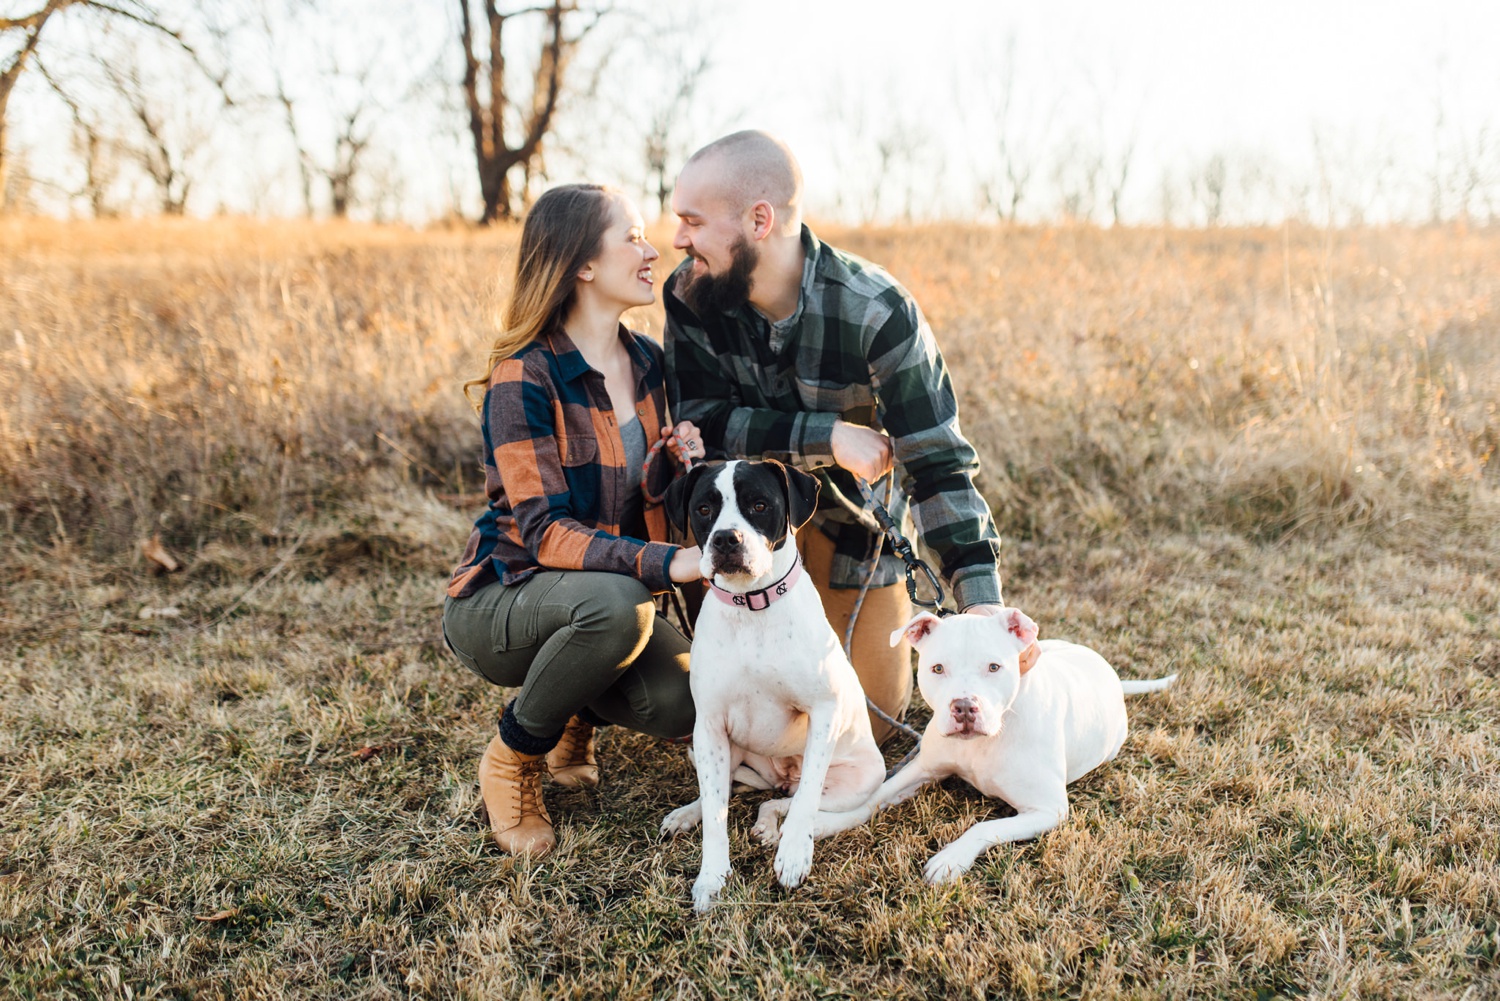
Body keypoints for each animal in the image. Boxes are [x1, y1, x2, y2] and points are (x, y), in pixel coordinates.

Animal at [663, 462, 882, 918]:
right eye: (704, 508)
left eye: (760, 505)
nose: (726, 539)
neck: (751, 606)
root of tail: (779, 777)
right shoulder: (709, 725)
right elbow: (716, 814)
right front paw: (711, 878)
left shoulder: (824, 712)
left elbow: (804, 801)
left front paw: (794, 853)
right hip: (712, 747)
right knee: (727, 791)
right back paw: (689, 814)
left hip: (853, 785)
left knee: (785, 800)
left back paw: (770, 827)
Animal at [774, 612, 1182, 882]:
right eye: (937, 668)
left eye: (994, 667)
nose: (964, 707)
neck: (987, 740)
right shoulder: (922, 769)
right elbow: (871, 800)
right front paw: (821, 825)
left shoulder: (1048, 810)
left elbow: (984, 828)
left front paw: (949, 859)